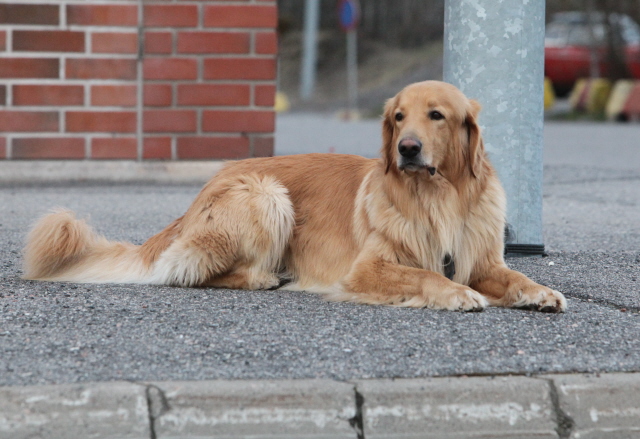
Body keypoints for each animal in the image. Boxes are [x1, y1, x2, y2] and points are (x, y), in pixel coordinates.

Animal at [23, 80, 564, 312]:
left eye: (436, 115)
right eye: (398, 118)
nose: (406, 149)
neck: (437, 196)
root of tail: (204, 190)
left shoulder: (482, 258)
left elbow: (513, 274)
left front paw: (537, 292)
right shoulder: (368, 268)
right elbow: (425, 275)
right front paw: (457, 294)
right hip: (268, 195)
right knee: (187, 272)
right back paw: (264, 278)